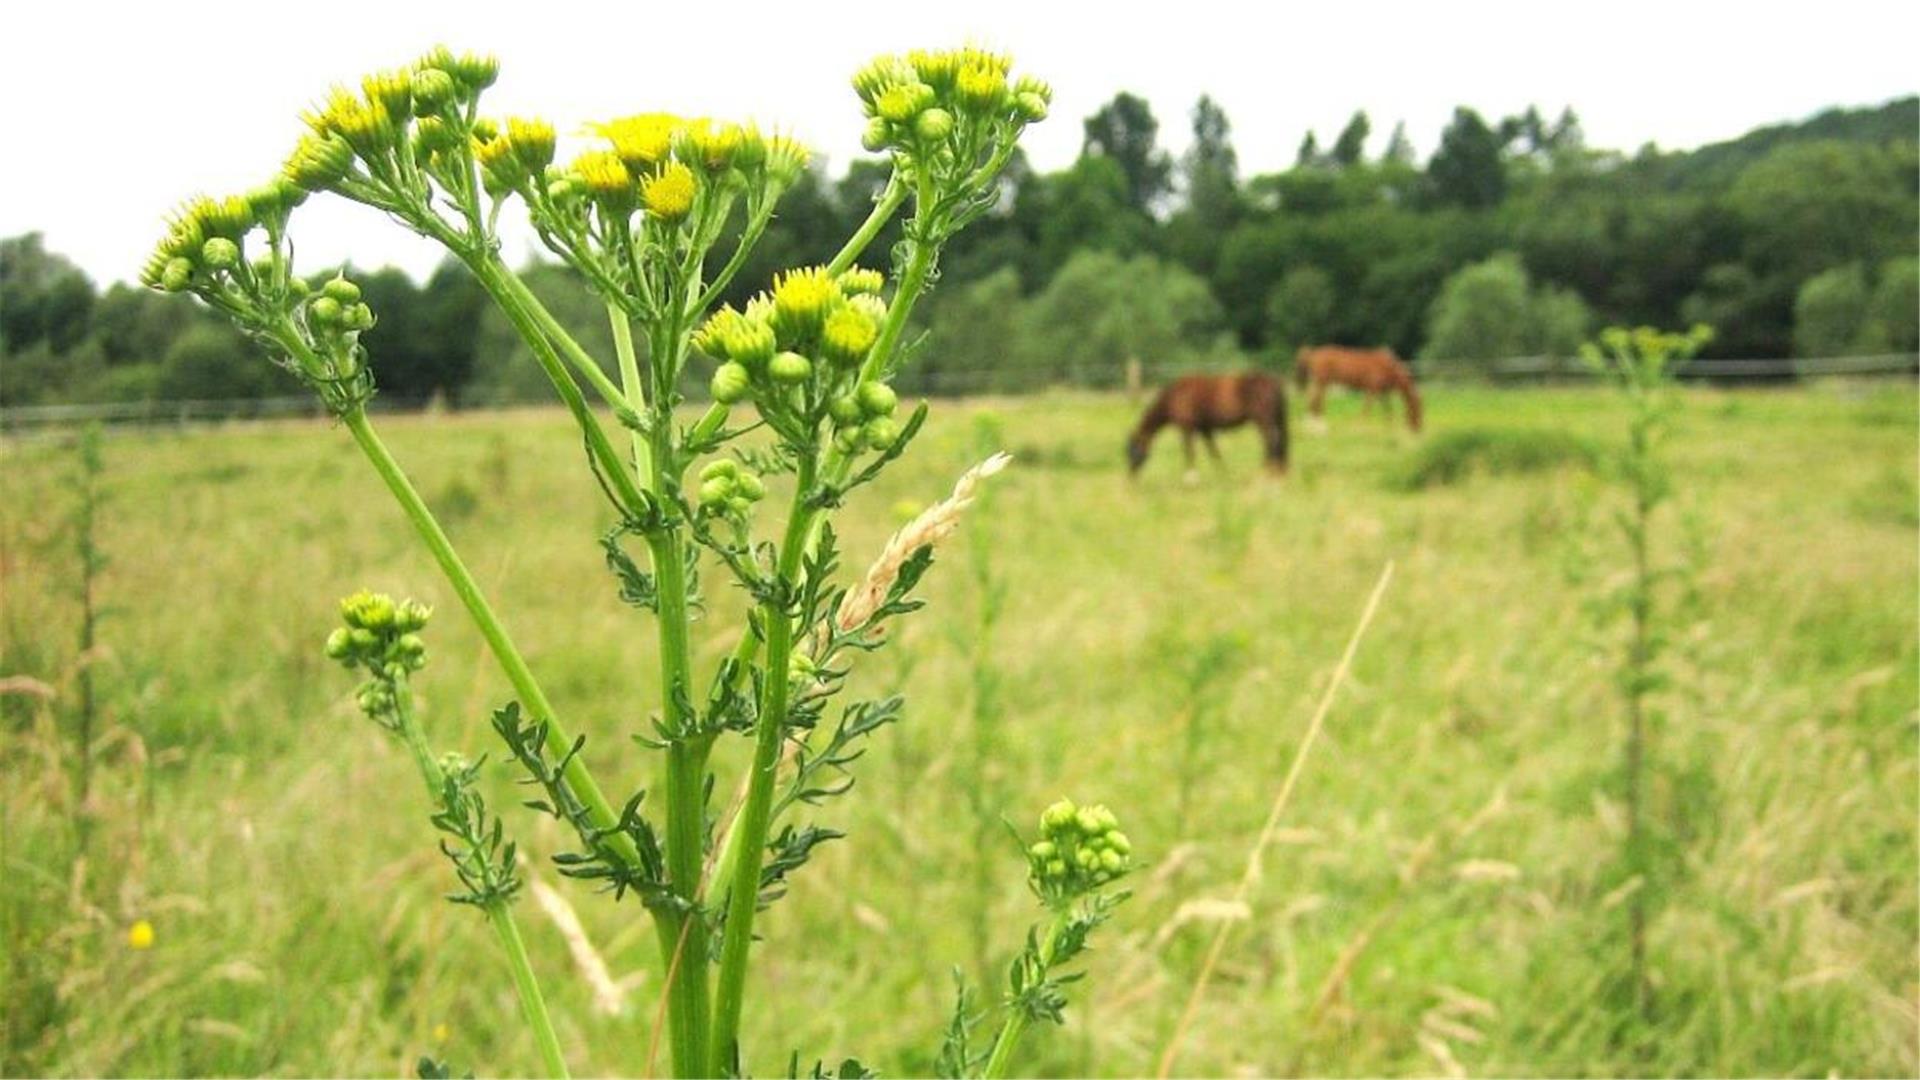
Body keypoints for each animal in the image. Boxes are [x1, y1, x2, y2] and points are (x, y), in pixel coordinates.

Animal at [1121, 372, 1290, 476]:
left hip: (1263, 421)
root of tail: (1273, 382)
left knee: (1271, 442)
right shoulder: (1205, 429)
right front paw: (1222, 473)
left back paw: (1266, 470)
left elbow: (1189, 452)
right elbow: (1214, 451)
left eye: (1133, 451)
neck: (1176, 396)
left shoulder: (1187, 429)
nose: (1131, 475)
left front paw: (1190, 478)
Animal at [1290, 342, 1428, 430]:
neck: (1388, 367)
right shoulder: (1372, 390)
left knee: (1315, 399)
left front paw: (1389, 426)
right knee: (1315, 399)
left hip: (1321, 382)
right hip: (1321, 382)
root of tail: (1314, 353)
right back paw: (1317, 420)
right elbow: (1367, 409)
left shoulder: (1383, 393)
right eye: (1417, 408)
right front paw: (1363, 425)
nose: (1418, 428)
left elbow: (1388, 410)